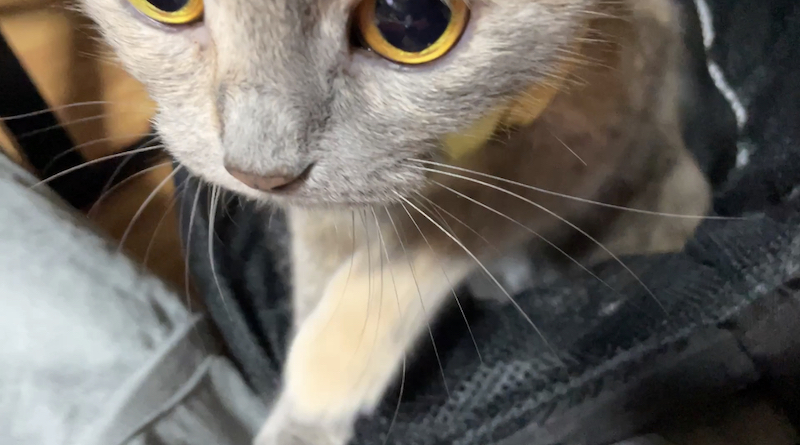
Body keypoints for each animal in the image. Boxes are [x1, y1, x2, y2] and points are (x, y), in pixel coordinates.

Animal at [77, 0, 712, 443]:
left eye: (411, 21)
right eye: (167, 1)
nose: (259, 169)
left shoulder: (594, 124)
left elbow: (451, 224)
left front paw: (326, 376)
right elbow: (323, 252)